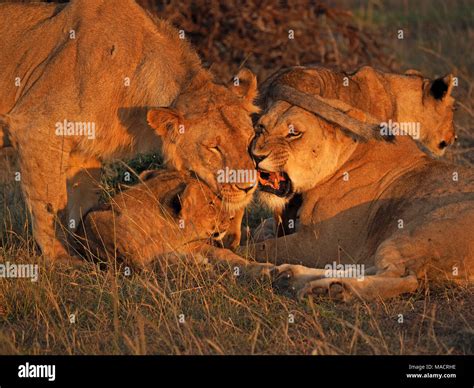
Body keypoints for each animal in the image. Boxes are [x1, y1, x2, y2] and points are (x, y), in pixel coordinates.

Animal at [0, 0, 260, 262]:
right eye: (213, 147)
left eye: (249, 139)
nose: (249, 187)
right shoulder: (36, 127)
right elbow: (50, 203)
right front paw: (63, 260)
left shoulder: (85, 151)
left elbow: (80, 204)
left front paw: (87, 252)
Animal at [244, 83, 474, 300]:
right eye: (260, 128)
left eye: (294, 133)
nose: (255, 156)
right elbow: (263, 230)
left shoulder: (322, 244)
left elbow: (261, 248)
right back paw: (293, 275)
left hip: (413, 232)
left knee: (404, 278)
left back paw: (330, 290)